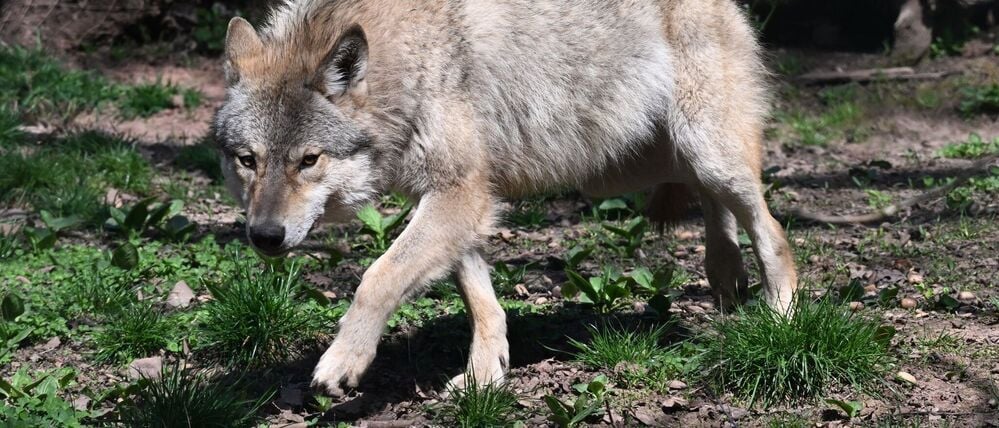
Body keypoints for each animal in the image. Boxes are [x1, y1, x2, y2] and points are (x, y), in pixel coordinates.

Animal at [213, 0, 798, 395]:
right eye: (248, 160)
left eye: (308, 160)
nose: (264, 237)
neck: (409, 65)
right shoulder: (462, 202)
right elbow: (481, 301)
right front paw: (484, 375)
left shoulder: (459, 195)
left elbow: (377, 278)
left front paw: (343, 361)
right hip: (629, 165)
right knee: (710, 200)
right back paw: (725, 274)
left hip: (702, 151)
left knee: (772, 230)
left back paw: (780, 318)